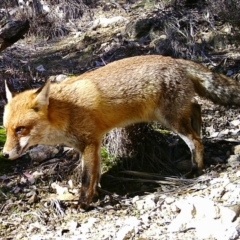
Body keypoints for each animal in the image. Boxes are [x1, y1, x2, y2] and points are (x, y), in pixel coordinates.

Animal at [2, 54, 240, 208]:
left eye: (20, 130)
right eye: (7, 130)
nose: (4, 154)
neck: (66, 111)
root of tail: (174, 59)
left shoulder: (89, 143)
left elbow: (86, 179)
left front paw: (82, 204)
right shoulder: (94, 144)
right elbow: (95, 175)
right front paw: (97, 195)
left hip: (170, 120)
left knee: (195, 140)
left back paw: (196, 170)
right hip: (169, 115)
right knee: (196, 108)